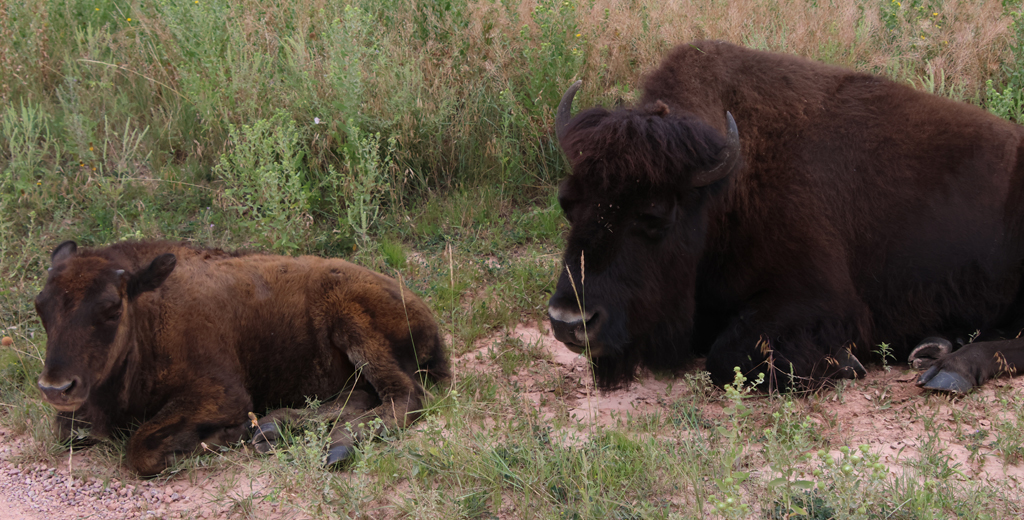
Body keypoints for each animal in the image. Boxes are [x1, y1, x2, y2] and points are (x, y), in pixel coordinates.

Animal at [34, 240, 449, 475]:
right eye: (41, 306)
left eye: (111, 308)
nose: (56, 388)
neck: (149, 317)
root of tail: (416, 301)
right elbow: (65, 431)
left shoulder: (223, 395)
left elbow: (141, 448)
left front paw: (230, 435)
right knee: (360, 395)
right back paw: (275, 428)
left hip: (357, 328)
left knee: (404, 395)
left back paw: (336, 447)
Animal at [547, 40, 1024, 392]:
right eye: (567, 202)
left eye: (655, 216)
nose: (569, 322)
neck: (725, 186)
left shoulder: (819, 297)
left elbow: (725, 357)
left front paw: (847, 363)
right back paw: (935, 345)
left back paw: (949, 369)